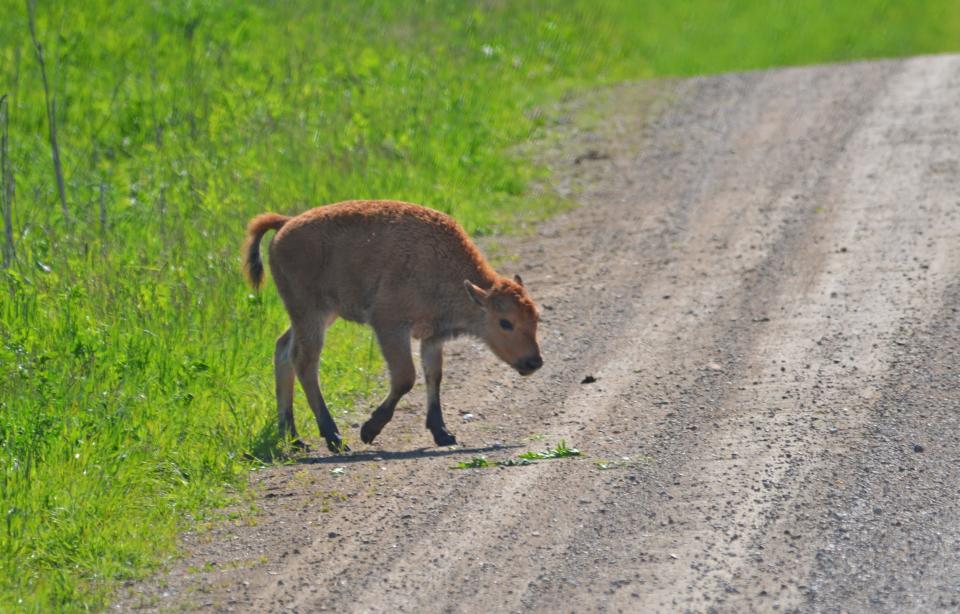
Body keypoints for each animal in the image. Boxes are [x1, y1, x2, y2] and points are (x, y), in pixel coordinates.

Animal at [244, 200, 544, 454]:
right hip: (312, 313)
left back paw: (295, 439)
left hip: (315, 316)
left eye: (536, 317)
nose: (534, 362)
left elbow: (434, 376)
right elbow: (405, 377)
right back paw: (334, 438)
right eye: (505, 322)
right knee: (305, 363)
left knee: (284, 350)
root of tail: (285, 224)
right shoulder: (389, 325)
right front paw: (369, 430)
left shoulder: (432, 337)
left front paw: (443, 433)